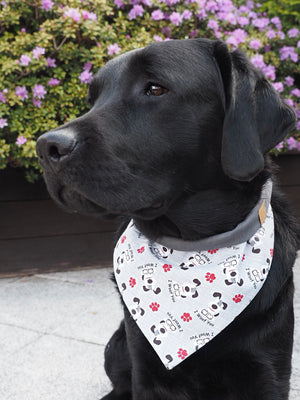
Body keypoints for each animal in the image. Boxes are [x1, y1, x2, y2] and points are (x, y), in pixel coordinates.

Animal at [37, 38, 298, 400]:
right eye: (93, 100)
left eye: (155, 88)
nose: (47, 146)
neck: (193, 248)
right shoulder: (147, 368)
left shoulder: (268, 370)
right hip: (118, 345)